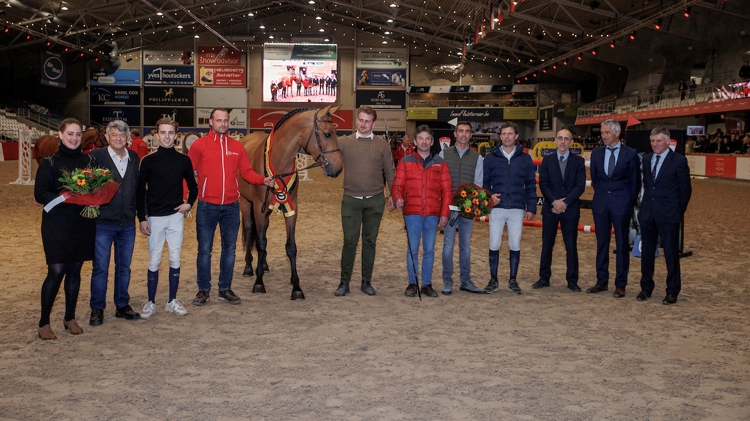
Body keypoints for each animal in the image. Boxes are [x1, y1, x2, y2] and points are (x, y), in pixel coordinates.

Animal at [241, 104, 344, 298]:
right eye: (327, 134)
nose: (338, 168)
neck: (278, 162)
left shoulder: (291, 208)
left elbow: (291, 247)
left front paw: (296, 286)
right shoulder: (258, 208)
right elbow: (260, 243)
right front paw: (259, 282)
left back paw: (263, 264)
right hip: (245, 203)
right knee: (250, 230)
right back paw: (249, 267)